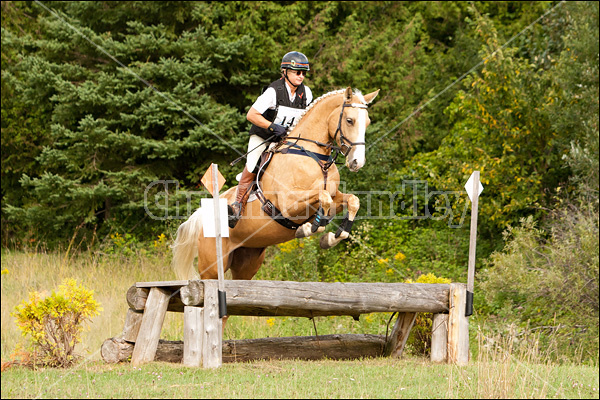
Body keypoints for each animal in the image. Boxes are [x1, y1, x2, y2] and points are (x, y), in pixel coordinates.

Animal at [172, 87, 380, 282]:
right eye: (350, 120)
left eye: (367, 123)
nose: (357, 162)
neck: (315, 157)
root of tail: (201, 216)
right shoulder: (289, 204)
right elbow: (324, 198)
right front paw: (309, 228)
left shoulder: (335, 197)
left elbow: (352, 201)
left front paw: (331, 237)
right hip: (212, 267)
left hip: (247, 260)